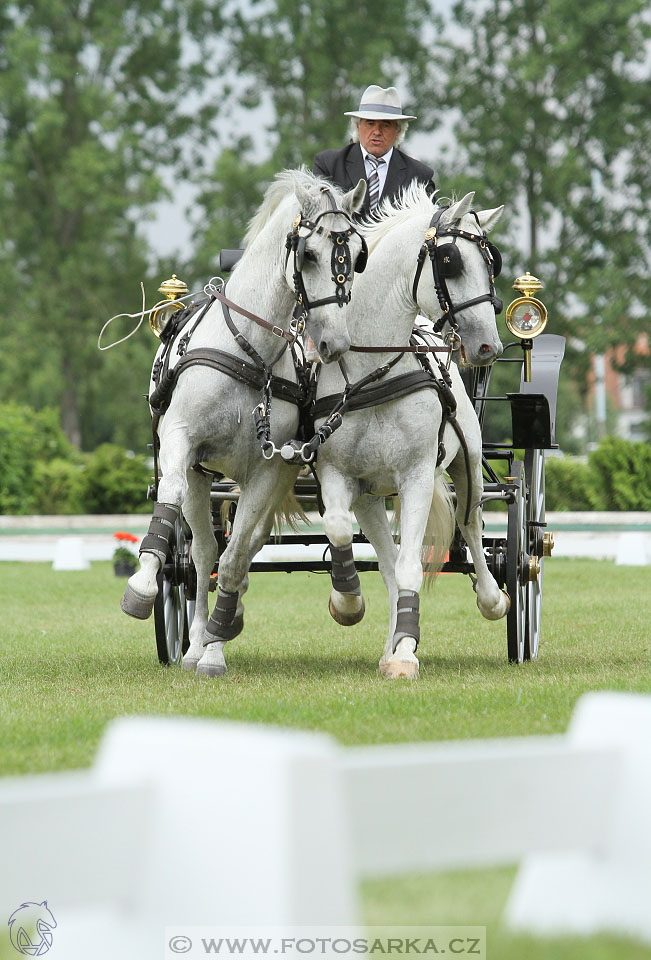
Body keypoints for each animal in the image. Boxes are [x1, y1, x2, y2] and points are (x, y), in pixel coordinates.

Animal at [121, 169, 366, 676]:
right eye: (308, 253)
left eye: (356, 255)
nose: (333, 343)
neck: (250, 352)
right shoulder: (181, 444)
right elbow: (174, 508)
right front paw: (144, 587)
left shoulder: (271, 467)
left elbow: (235, 557)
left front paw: (216, 648)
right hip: (204, 479)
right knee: (197, 555)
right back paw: (193, 639)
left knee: (245, 545)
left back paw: (221, 625)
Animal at [314, 188, 512, 680]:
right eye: (450, 261)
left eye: (492, 262)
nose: (489, 346)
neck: (371, 373)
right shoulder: (339, 475)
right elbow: (341, 531)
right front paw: (348, 604)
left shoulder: (418, 475)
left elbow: (412, 564)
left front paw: (406, 654)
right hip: (372, 496)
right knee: (386, 560)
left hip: (467, 462)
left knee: (471, 524)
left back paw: (493, 600)